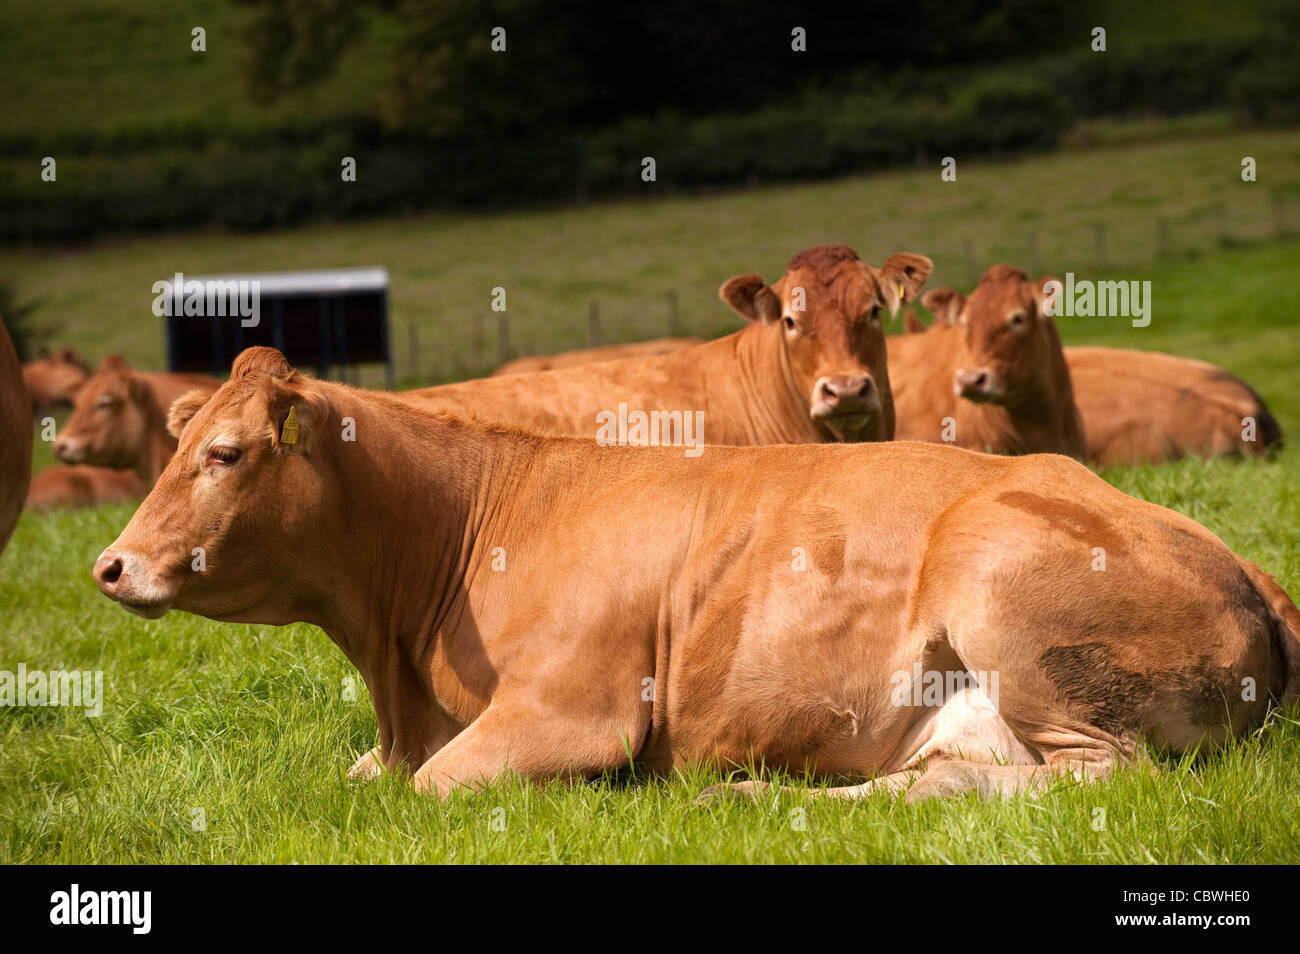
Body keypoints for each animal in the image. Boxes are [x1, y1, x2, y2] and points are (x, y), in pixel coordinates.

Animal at [94, 348, 1300, 805]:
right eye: (178, 437)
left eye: (225, 453)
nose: (110, 566)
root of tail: (1236, 554)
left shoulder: (568, 712)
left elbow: (430, 790)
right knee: (949, 780)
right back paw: (752, 793)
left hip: (1005, 589)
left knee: (1092, 778)